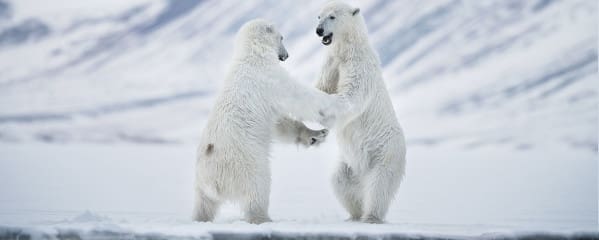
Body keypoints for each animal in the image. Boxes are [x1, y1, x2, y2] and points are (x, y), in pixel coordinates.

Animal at [196, 18, 340, 223]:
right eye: (282, 37)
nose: (286, 55)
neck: (252, 55)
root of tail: (212, 181)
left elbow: (279, 123)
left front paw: (315, 135)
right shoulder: (269, 78)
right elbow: (297, 96)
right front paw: (335, 102)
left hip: (201, 184)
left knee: (204, 205)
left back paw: (200, 217)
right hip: (245, 164)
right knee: (258, 188)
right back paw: (264, 218)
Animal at [314, 1, 408, 223]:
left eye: (332, 16)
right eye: (318, 16)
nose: (319, 30)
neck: (348, 49)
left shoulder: (359, 67)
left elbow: (351, 97)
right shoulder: (332, 62)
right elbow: (323, 85)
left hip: (384, 153)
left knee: (379, 184)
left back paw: (370, 216)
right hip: (349, 163)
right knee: (340, 181)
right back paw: (354, 214)